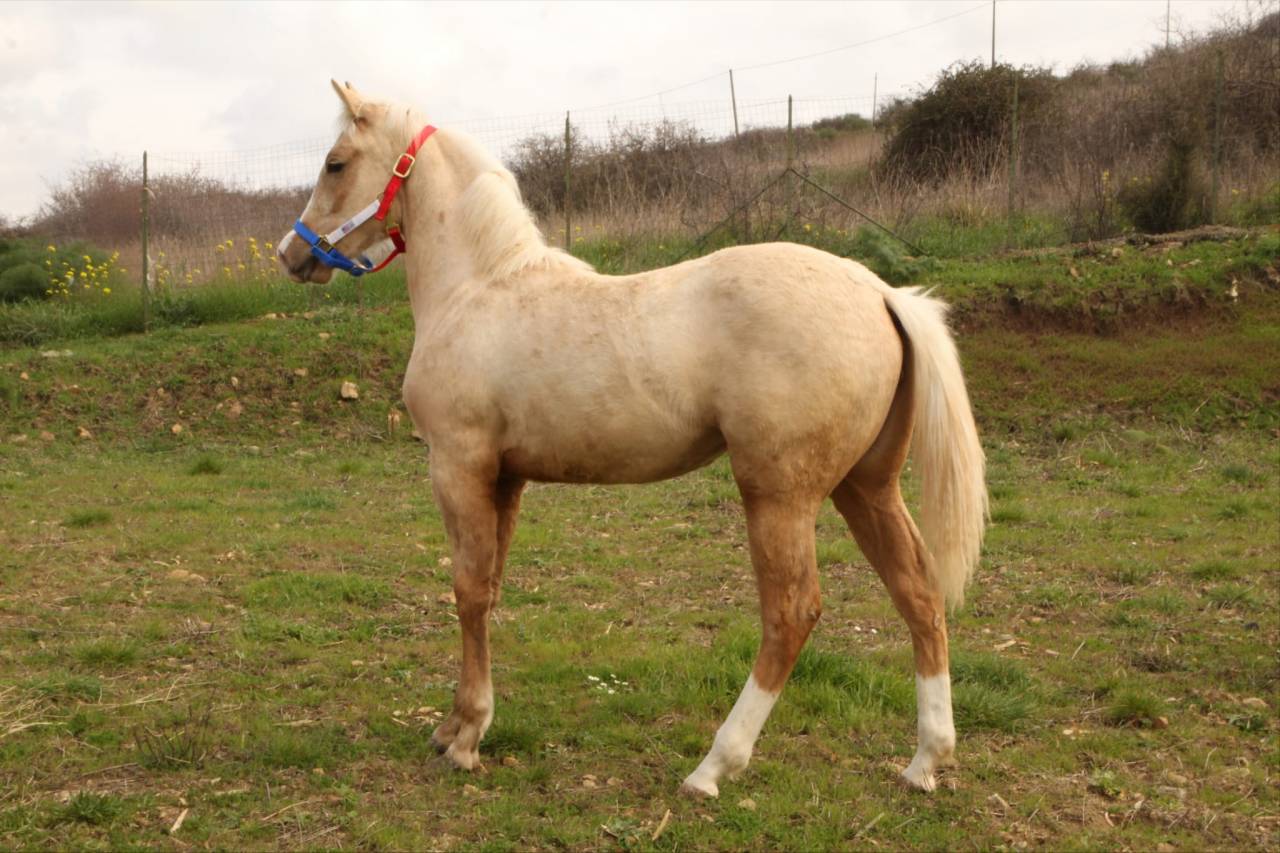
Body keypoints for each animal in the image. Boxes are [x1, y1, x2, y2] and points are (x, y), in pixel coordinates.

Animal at [277, 81, 987, 797]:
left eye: (336, 163)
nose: (291, 253)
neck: (478, 288)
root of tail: (878, 290)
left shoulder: (459, 467)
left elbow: (469, 592)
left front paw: (467, 737)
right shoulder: (506, 478)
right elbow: (491, 587)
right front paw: (453, 725)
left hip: (780, 496)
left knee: (792, 613)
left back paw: (713, 767)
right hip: (865, 486)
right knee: (918, 592)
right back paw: (926, 761)